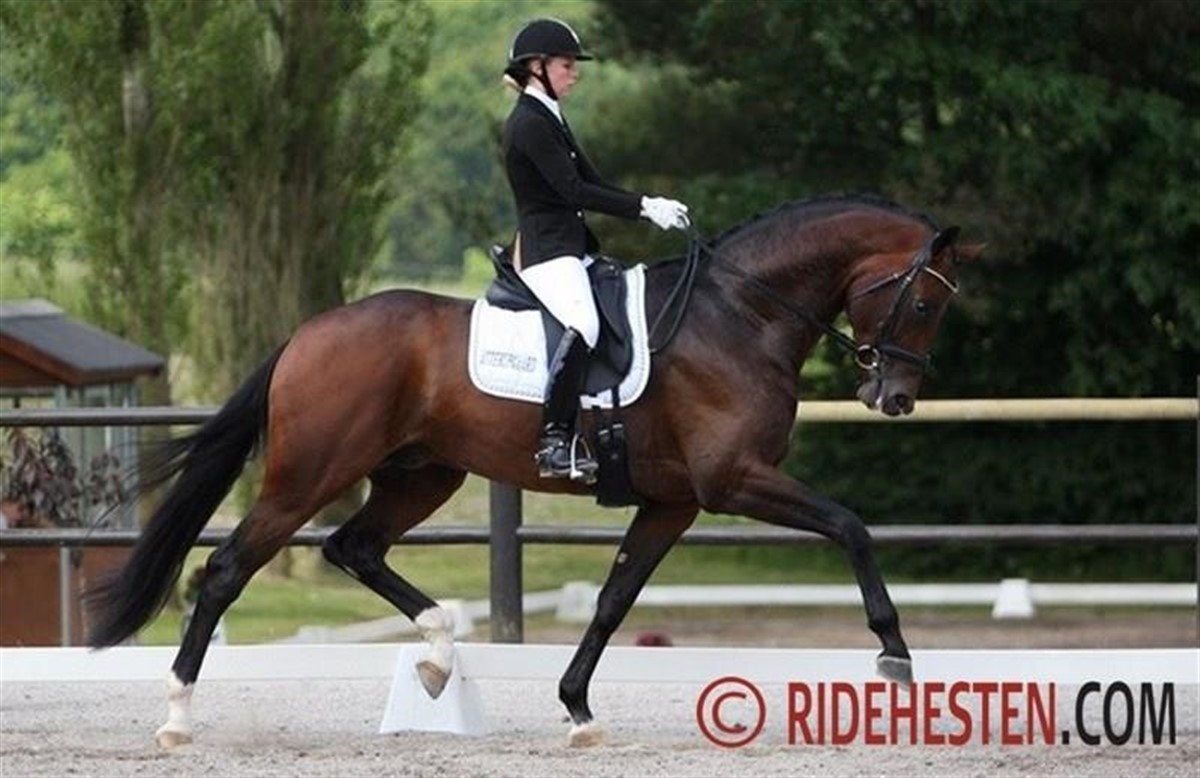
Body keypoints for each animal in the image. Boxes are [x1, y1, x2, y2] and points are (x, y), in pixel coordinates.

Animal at [85, 193, 983, 748]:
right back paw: (176, 718)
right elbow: (849, 526)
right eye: (925, 302)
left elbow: (616, 599)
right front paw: (895, 654)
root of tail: (309, 331)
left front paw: (578, 709)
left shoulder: (673, 502)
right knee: (227, 569)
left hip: (422, 475)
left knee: (355, 548)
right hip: (310, 474)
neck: (741, 314)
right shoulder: (733, 480)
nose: (893, 398)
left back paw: (438, 651)